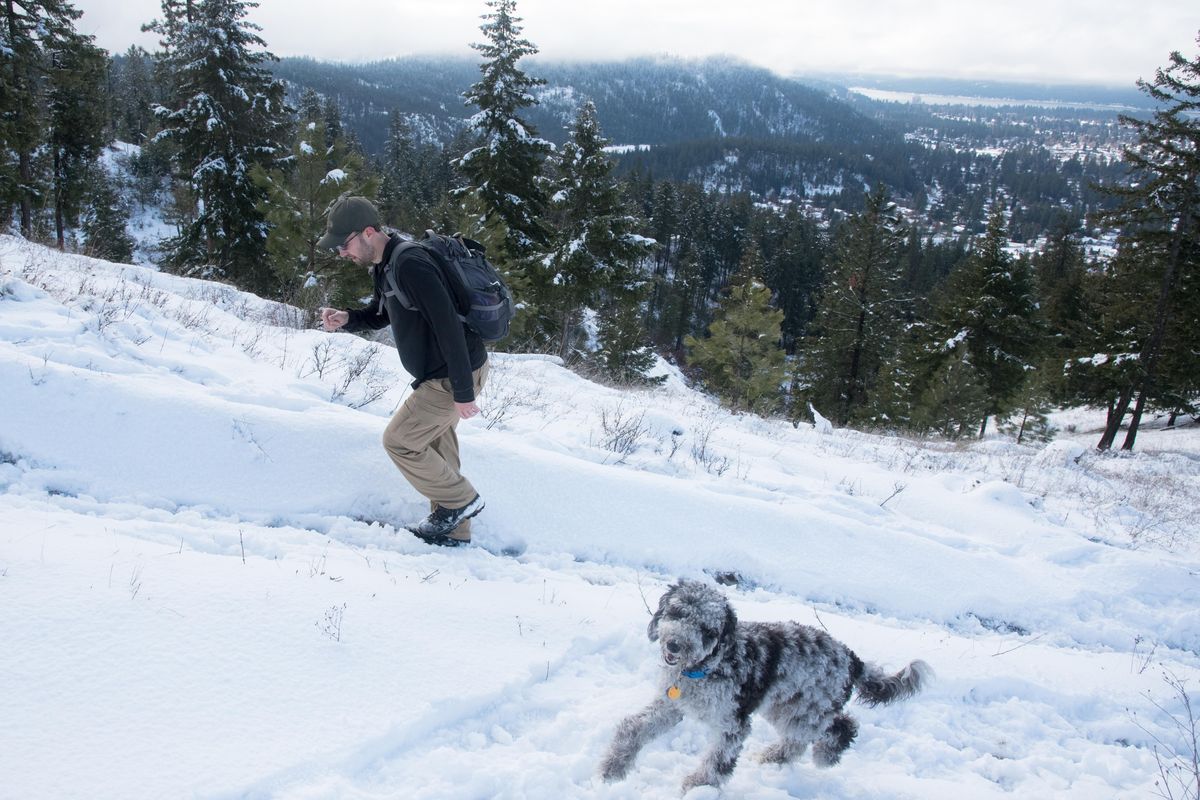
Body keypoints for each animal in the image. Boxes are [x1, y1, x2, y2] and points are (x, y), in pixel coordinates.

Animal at [600, 578, 926, 791]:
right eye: (678, 612)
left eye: (707, 629)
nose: (675, 645)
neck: (703, 669)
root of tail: (852, 658)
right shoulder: (671, 705)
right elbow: (632, 729)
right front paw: (612, 768)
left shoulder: (733, 723)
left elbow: (717, 762)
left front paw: (697, 787)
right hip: (785, 708)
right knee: (798, 742)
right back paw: (773, 757)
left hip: (806, 712)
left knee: (842, 727)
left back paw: (825, 755)